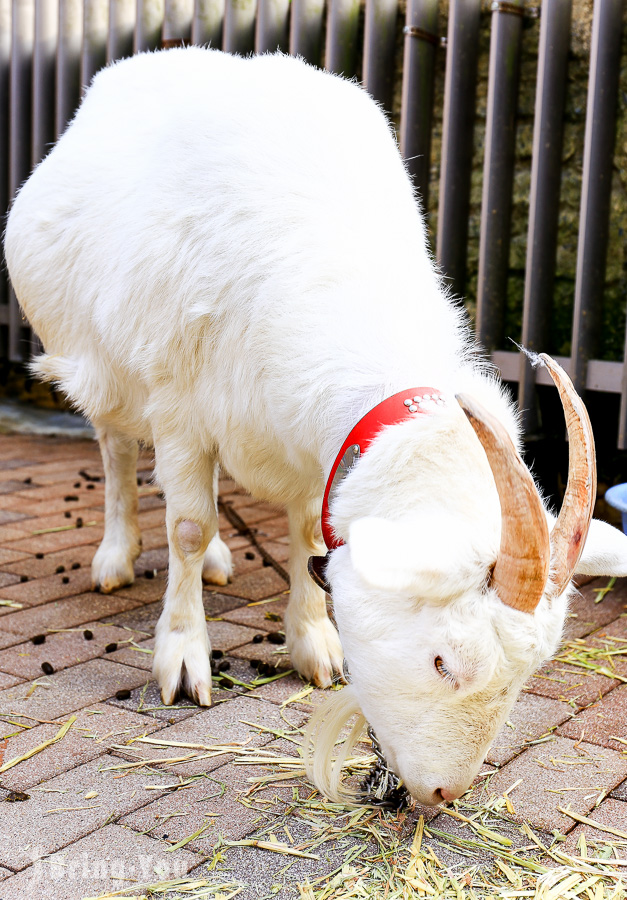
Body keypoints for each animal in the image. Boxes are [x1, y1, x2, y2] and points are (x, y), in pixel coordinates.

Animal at [4, 47, 627, 808]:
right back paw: (116, 558)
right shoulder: (179, 407)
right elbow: (186, 526)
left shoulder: (308, 443)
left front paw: (313, 645)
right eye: (444, 661)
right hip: (105, 366)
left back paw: (220, 561)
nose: (440, 793)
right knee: (119, 451)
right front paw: (182, 657)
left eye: (529, 672)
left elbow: (305, 533)